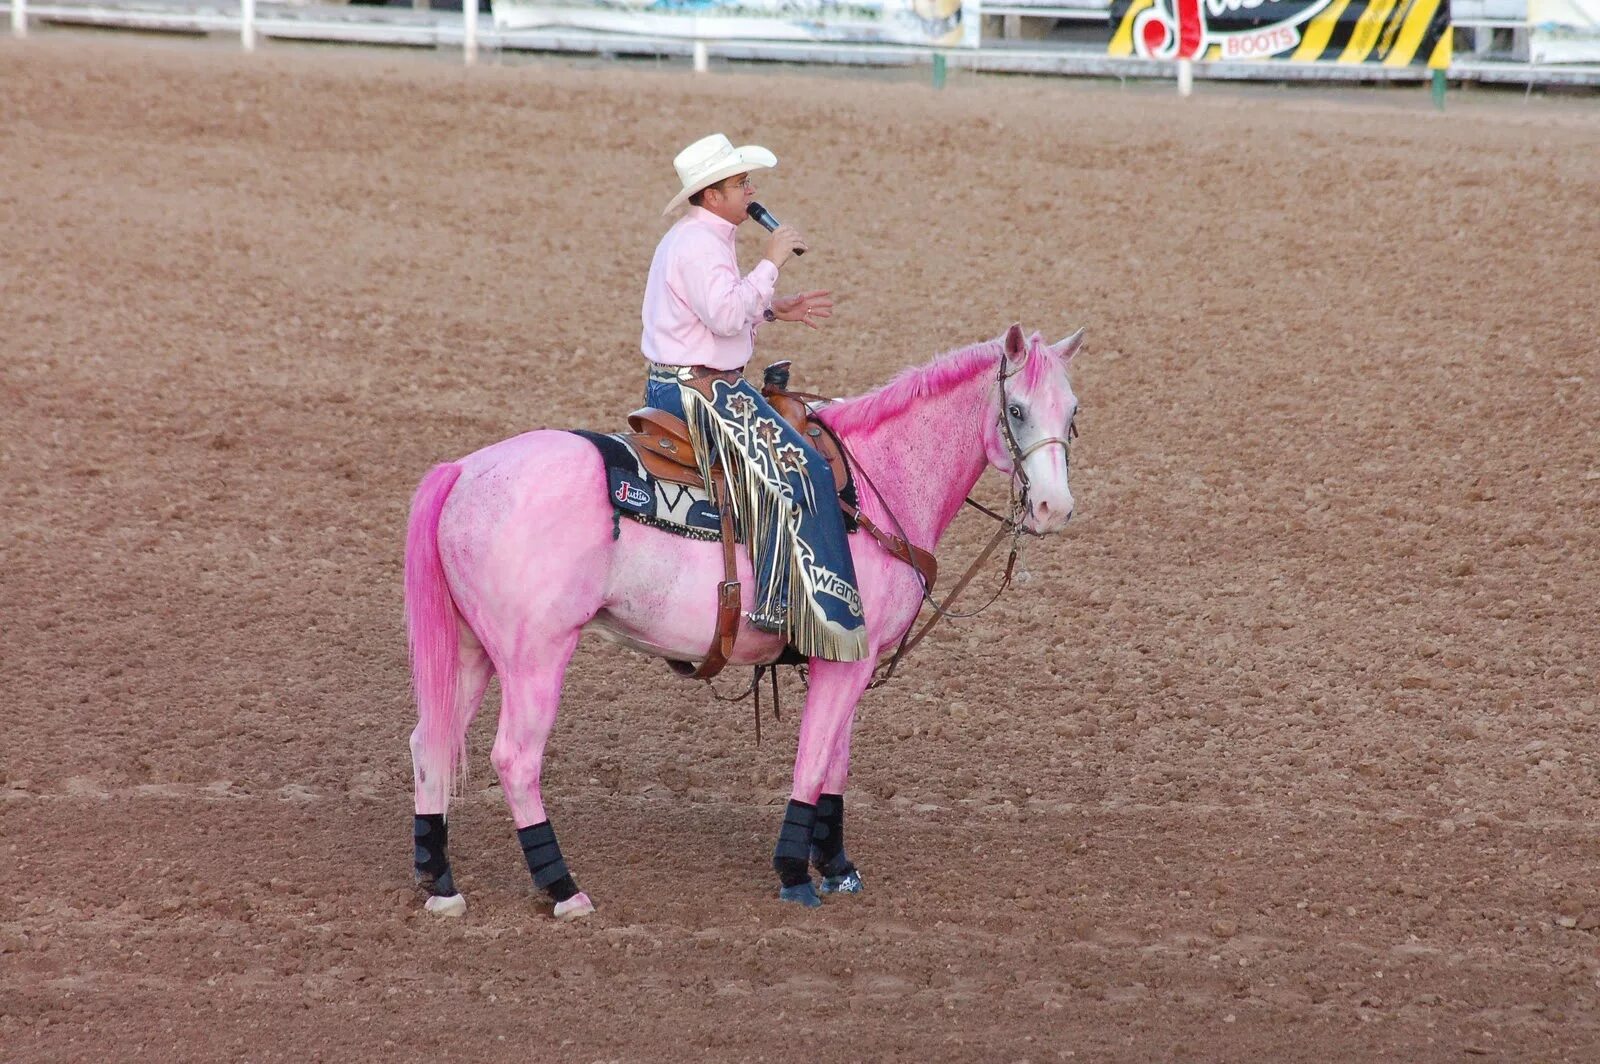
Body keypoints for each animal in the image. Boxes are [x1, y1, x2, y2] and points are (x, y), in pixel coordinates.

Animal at [403, 321, 1088, 915]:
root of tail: (464, 471)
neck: (878, 485)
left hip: (473, 650)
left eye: (1073, 412)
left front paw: (836, 867)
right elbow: (813, 760)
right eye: (1017, 410)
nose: (1054, 509)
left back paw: (440, 883)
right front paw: (794, 873)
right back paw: (563, 889)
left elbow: (835, 762)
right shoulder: (847, 657)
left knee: (431, 739)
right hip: (536, 656)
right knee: (515, 760)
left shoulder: (848, 661)